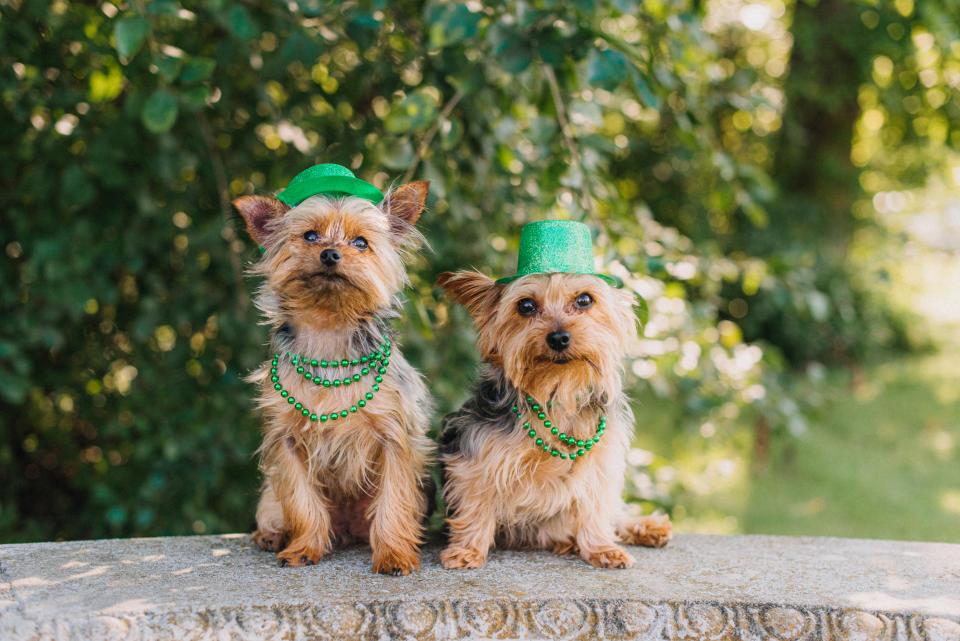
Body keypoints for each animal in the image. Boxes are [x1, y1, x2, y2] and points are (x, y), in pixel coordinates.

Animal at [235, 165, 436, 576]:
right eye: (310, 236)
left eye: (361, 243)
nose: (330, 253)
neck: (328, 334)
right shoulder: (287, 442)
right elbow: (302, 502)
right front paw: (303, 548)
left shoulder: (394, 437)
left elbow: (393, 500)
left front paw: (394, 554)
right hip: (270, 495)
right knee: (277, 509)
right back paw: (273, 535)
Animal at [436, 220, 672, 568]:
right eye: (525, 305)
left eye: (585, 300)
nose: (559, 337)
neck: (555, 392)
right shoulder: (474, 455)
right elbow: (475, 504)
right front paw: (466, 550)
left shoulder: (599, 465)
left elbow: (595, 509)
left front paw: (601, 548)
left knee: (615, 515)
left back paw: (646, 528)